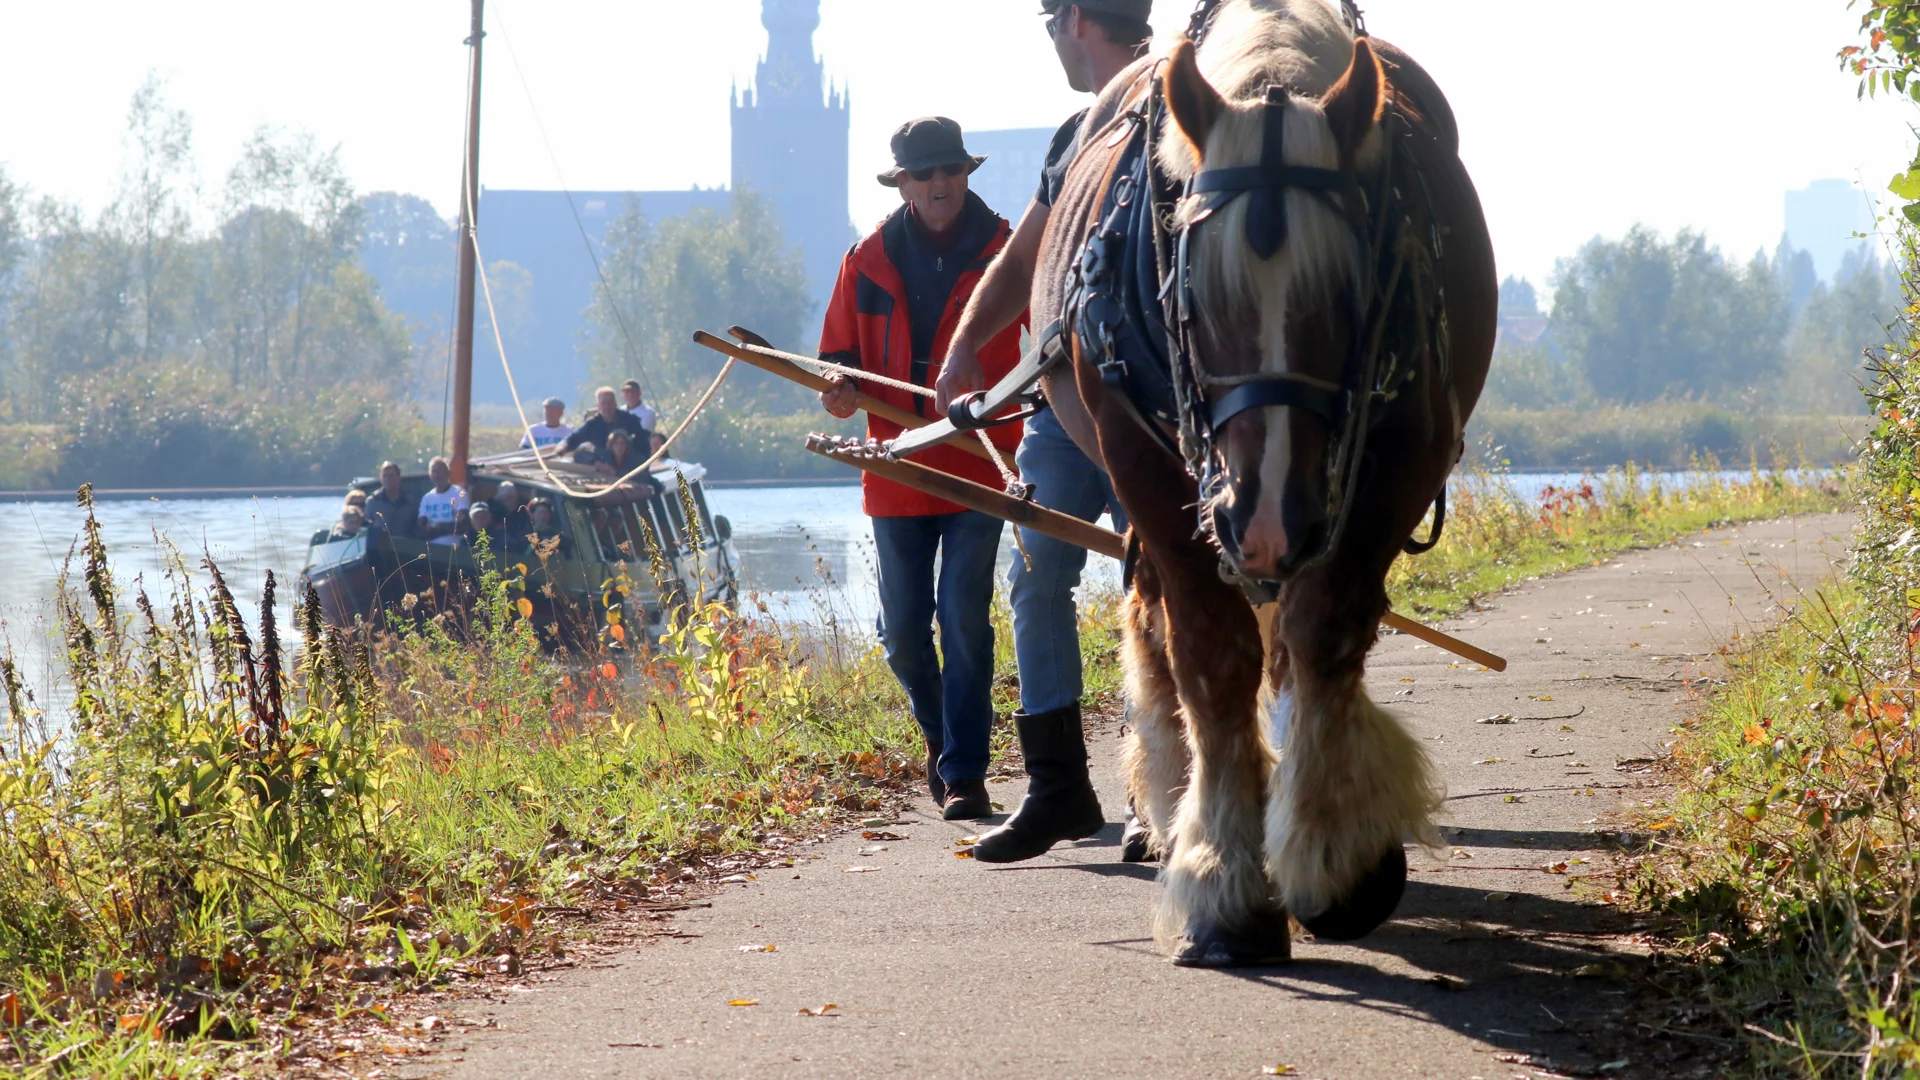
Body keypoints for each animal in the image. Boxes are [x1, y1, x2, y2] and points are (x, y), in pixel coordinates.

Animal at [1036, 0, 1497, 957]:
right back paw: (1166, 802)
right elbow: (1212, 657)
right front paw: (1220, 877)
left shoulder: (1396, 459)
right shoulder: (1148, 468)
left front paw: (1333, 850)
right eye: (1196, 300)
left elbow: (1322, 634)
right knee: (1159, 624)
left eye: (1347, 298)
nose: (1269, 523)